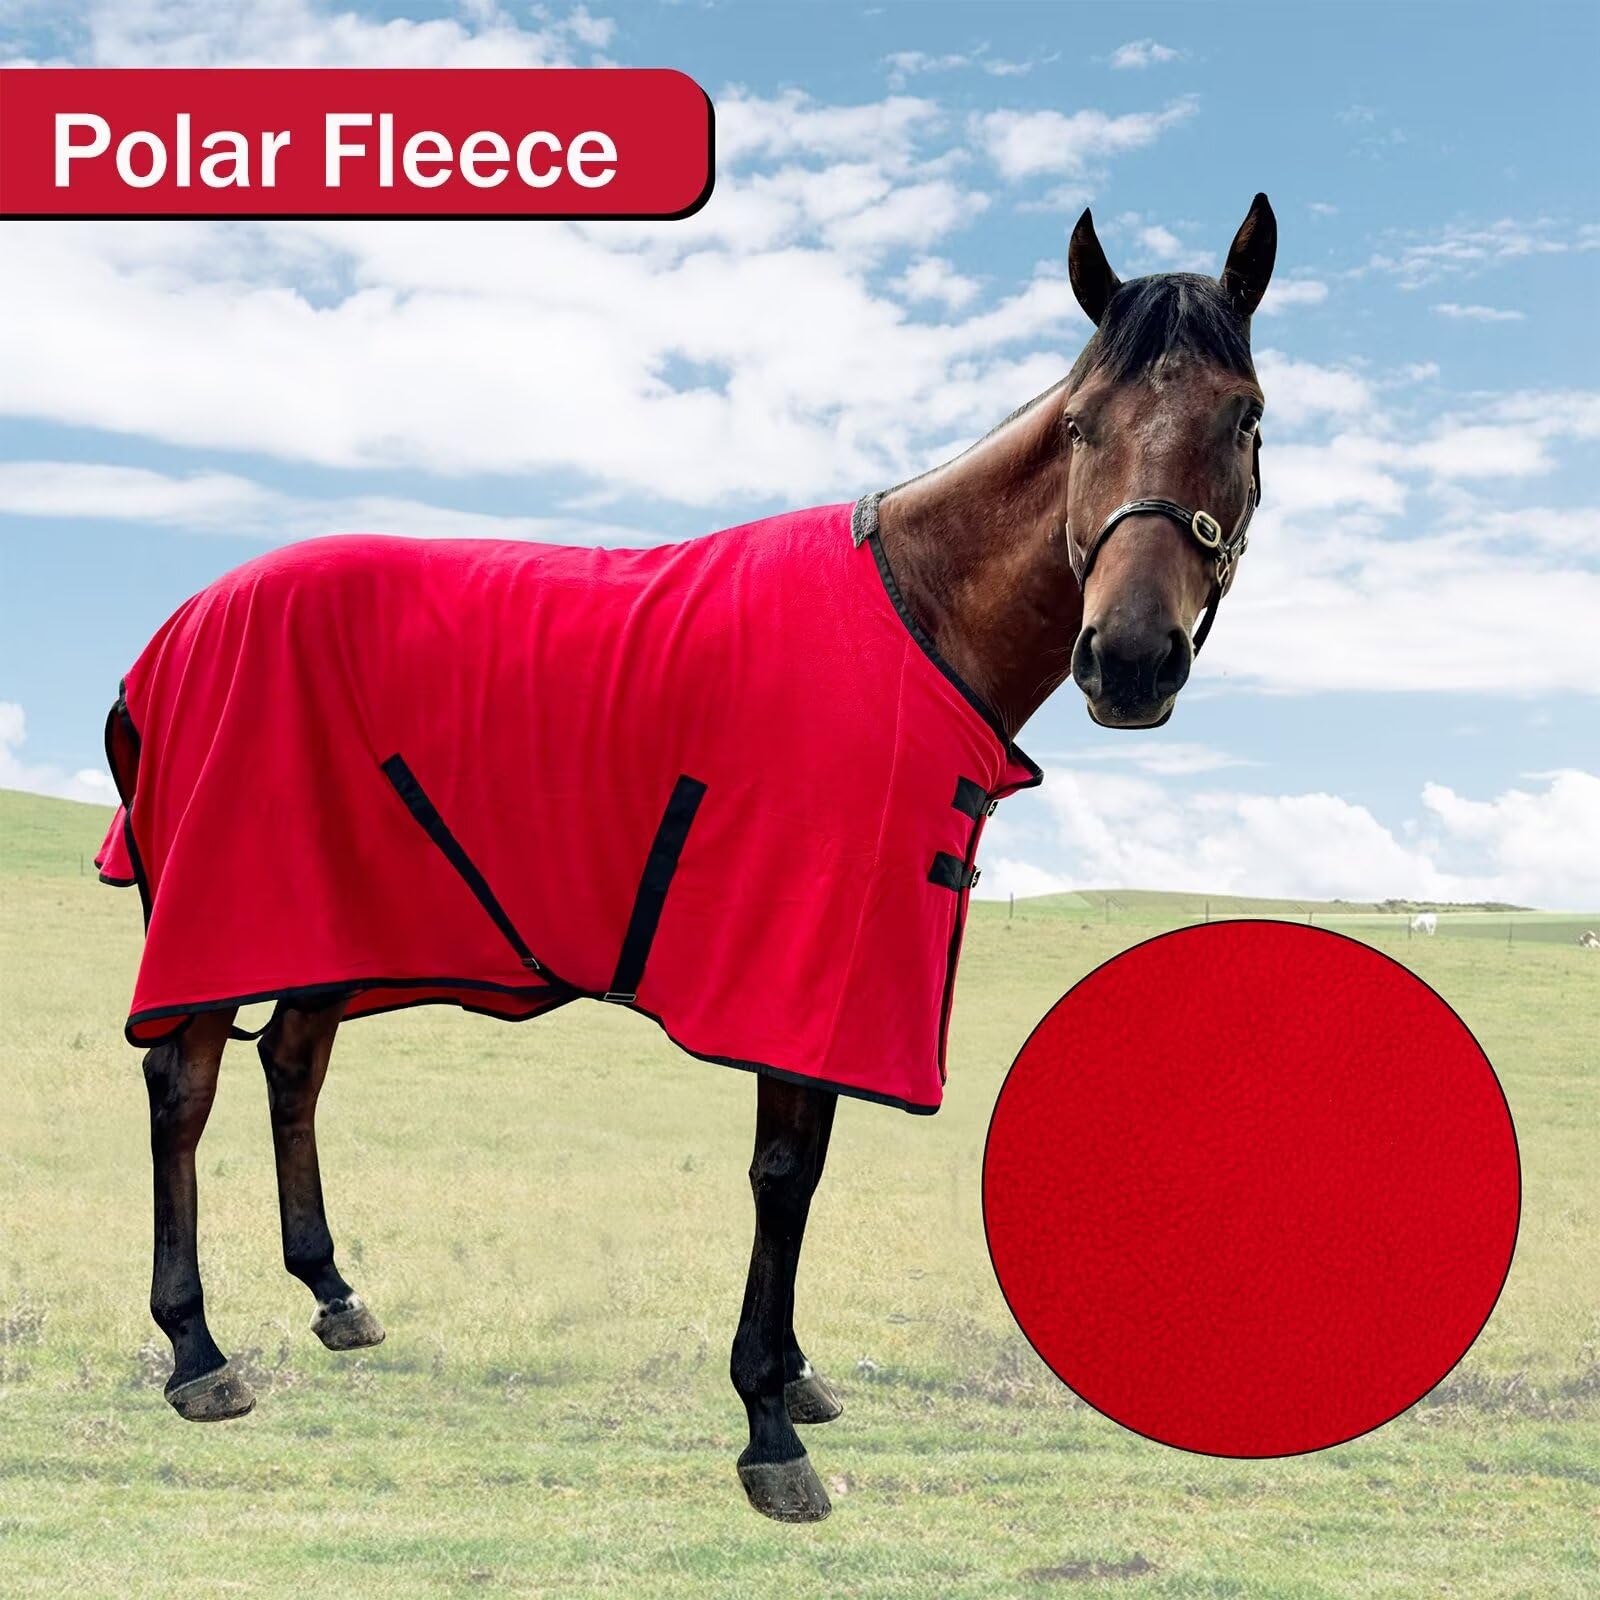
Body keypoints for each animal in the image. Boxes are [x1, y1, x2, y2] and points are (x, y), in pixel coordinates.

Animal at [102, 195, 1276, 1523]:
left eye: (1244, 416)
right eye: (1080, 424)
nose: (1128, 660)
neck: (915, 608)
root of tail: (171, 633)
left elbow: (808, 1164)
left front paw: (798, 1377)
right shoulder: (800, 961)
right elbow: (784, 1170)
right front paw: (769, 1423)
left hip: (329, 910)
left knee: (292, 1065)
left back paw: (332, 1293)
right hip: (227, 907)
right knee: (183, 1086)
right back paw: (196, 1350)